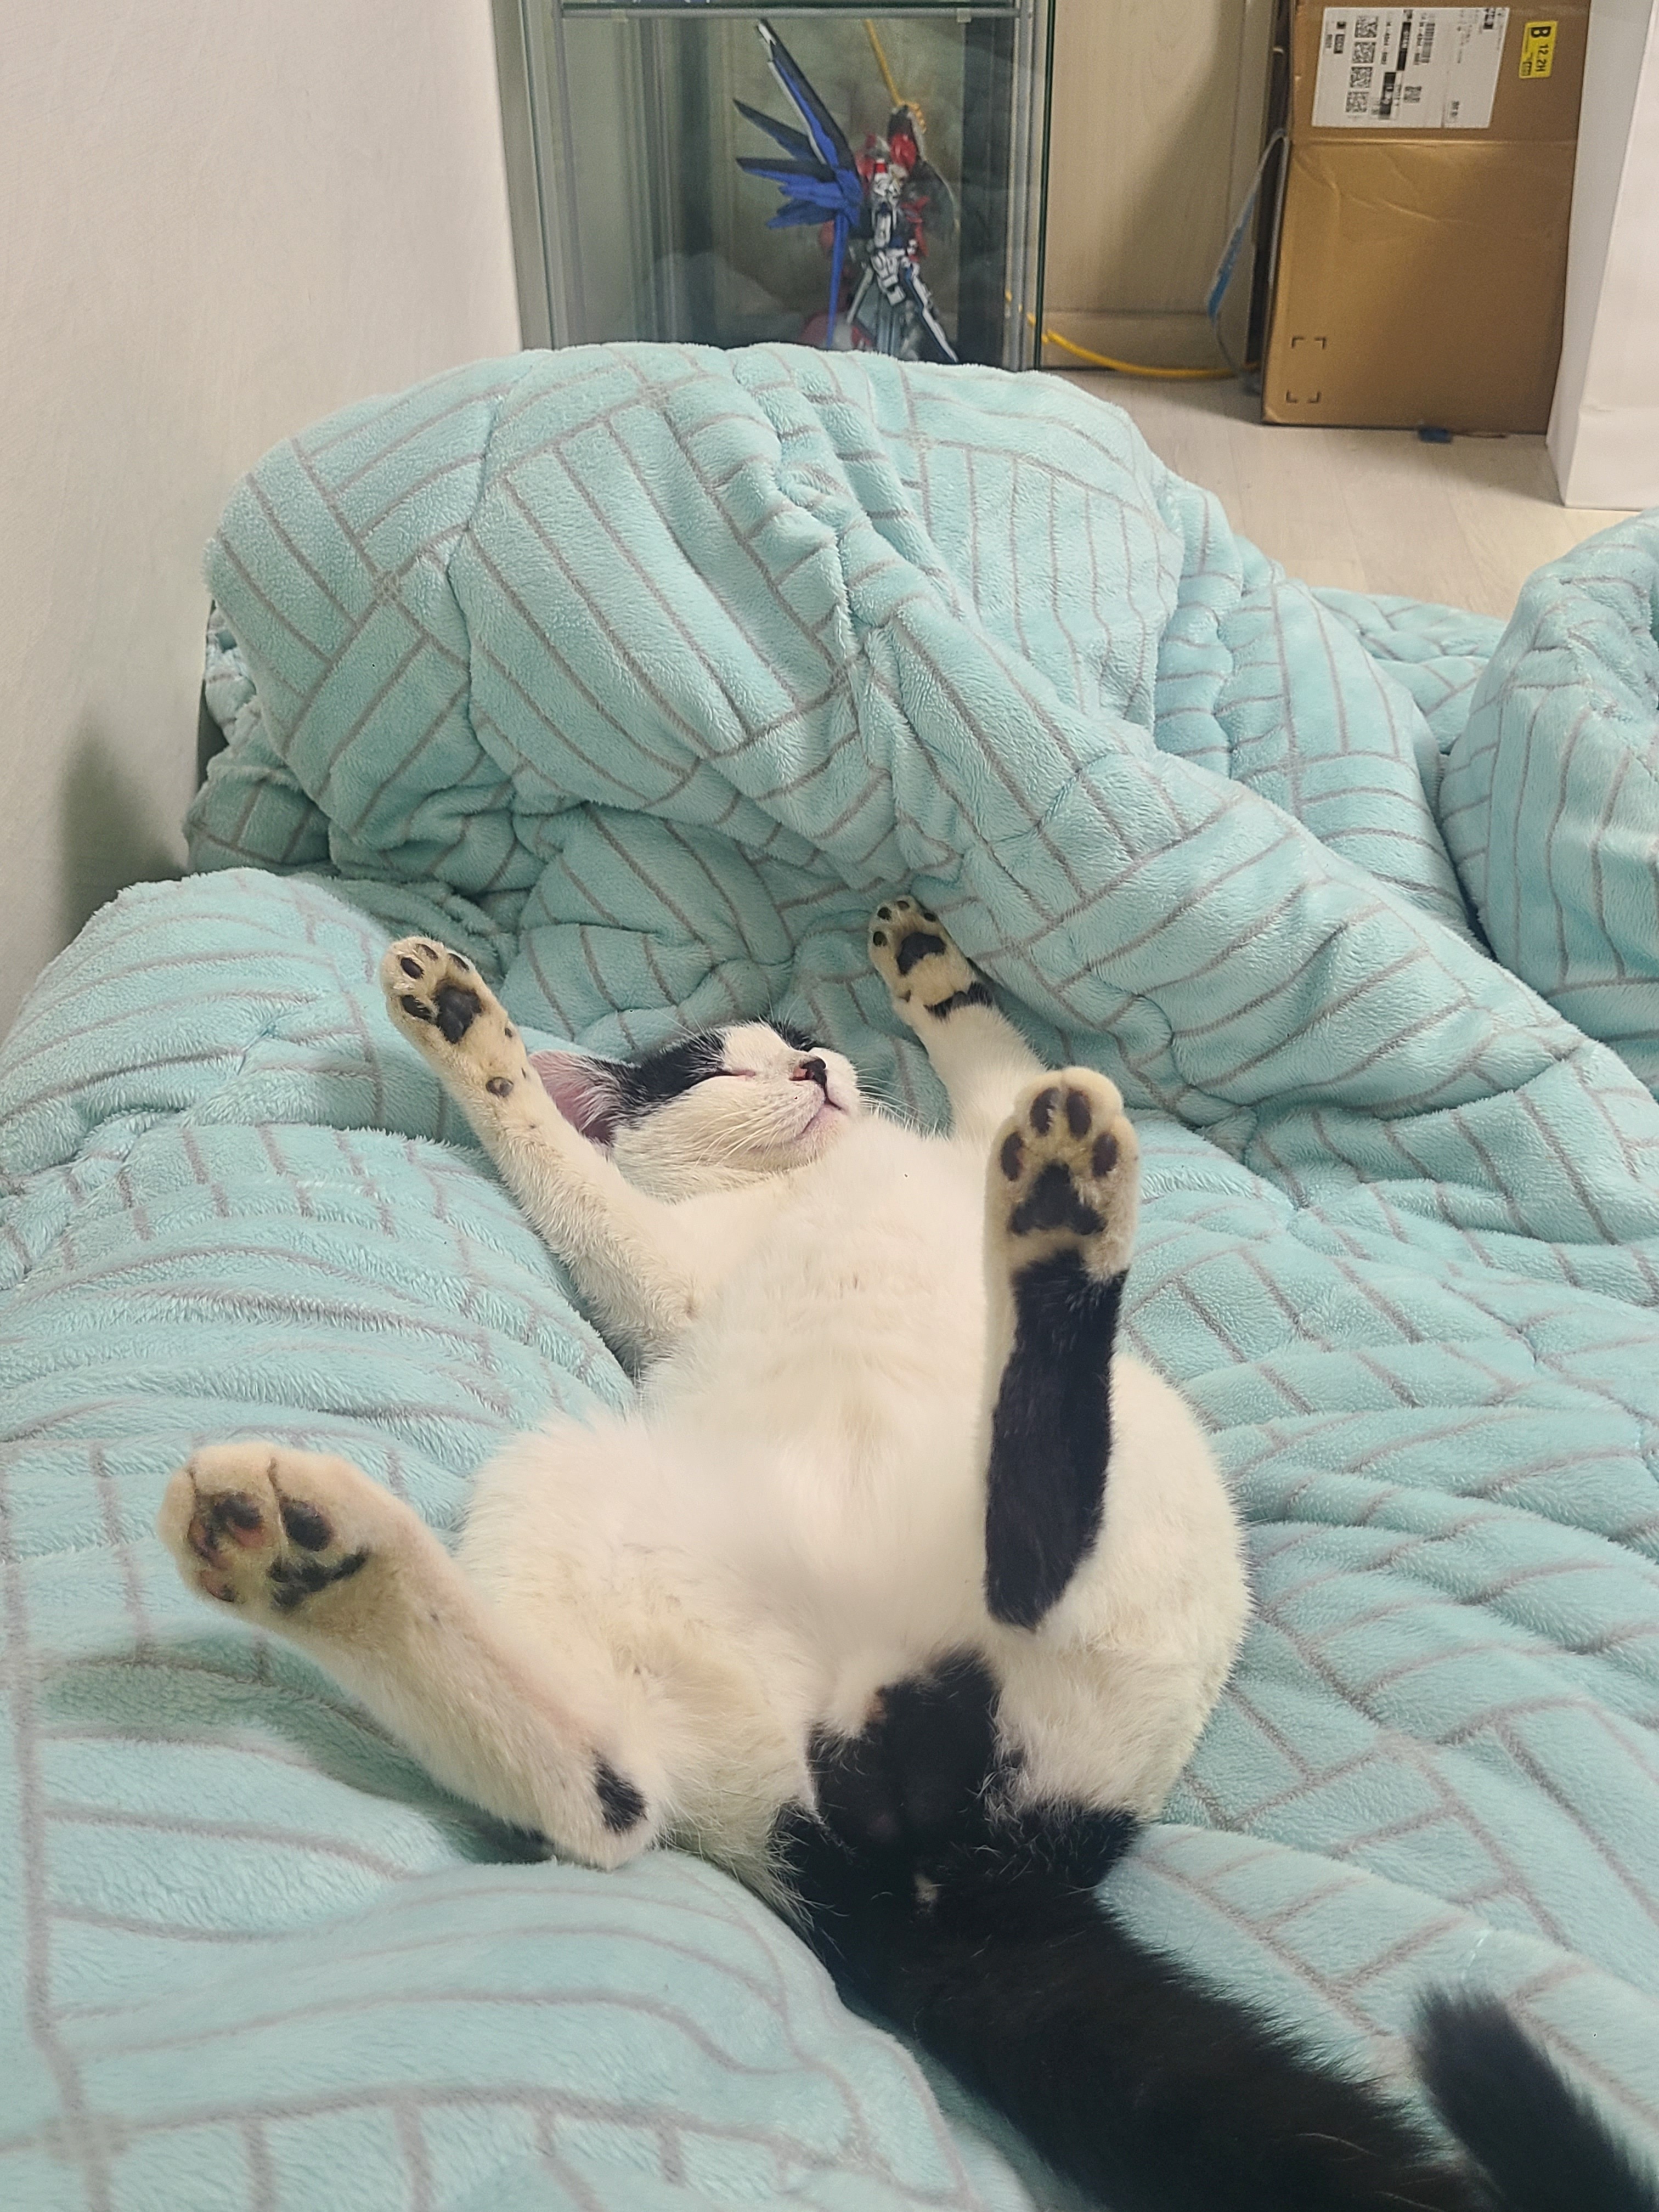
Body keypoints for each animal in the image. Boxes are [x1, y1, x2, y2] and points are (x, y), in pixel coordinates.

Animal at [159, 898, 1658, 2212]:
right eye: (715, 1066)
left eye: (797, 1038)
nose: (818, 1065)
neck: (812, 1178)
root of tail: (943, 1858)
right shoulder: (660, 1275)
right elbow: (570, 1171)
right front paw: (473, 1025)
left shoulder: (964, 1128)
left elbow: (1004, 1067)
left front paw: (929, 966)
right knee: (966, 1586)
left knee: (619, 1790)